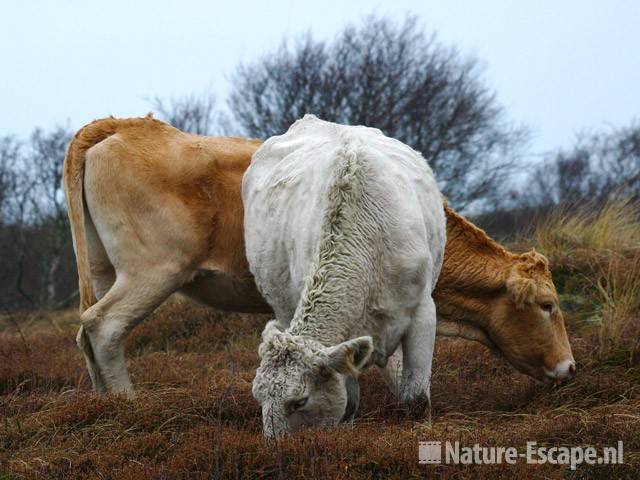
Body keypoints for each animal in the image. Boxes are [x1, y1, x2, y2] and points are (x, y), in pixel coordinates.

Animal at [63, 115, 576, 394]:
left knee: (87, 334)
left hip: (104, 269)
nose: (570, 367)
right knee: (104, 327)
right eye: (548, 305)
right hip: (153, 270)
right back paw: (129, 403)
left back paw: (105, 403)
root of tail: (124, 125)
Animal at [241, 115, 444, 436]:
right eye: (257, 396)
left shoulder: (423, 312)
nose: (274, 444)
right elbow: (349, 394)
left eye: (300, 401)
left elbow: (416, 395)